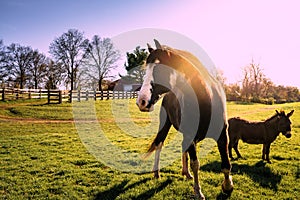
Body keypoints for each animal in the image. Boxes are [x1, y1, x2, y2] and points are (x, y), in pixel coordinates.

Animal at [137, 39, 234, 199]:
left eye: (160, 68)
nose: (142, 101)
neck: (206, 99)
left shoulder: (222, 135)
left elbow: (226, 163)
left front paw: (227, 186)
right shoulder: (190, 135)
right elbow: (196, 164)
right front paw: (198, 191)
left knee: (182, 147)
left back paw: (186, 173)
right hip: (165, 125)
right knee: (159, 144)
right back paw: (157, 172)